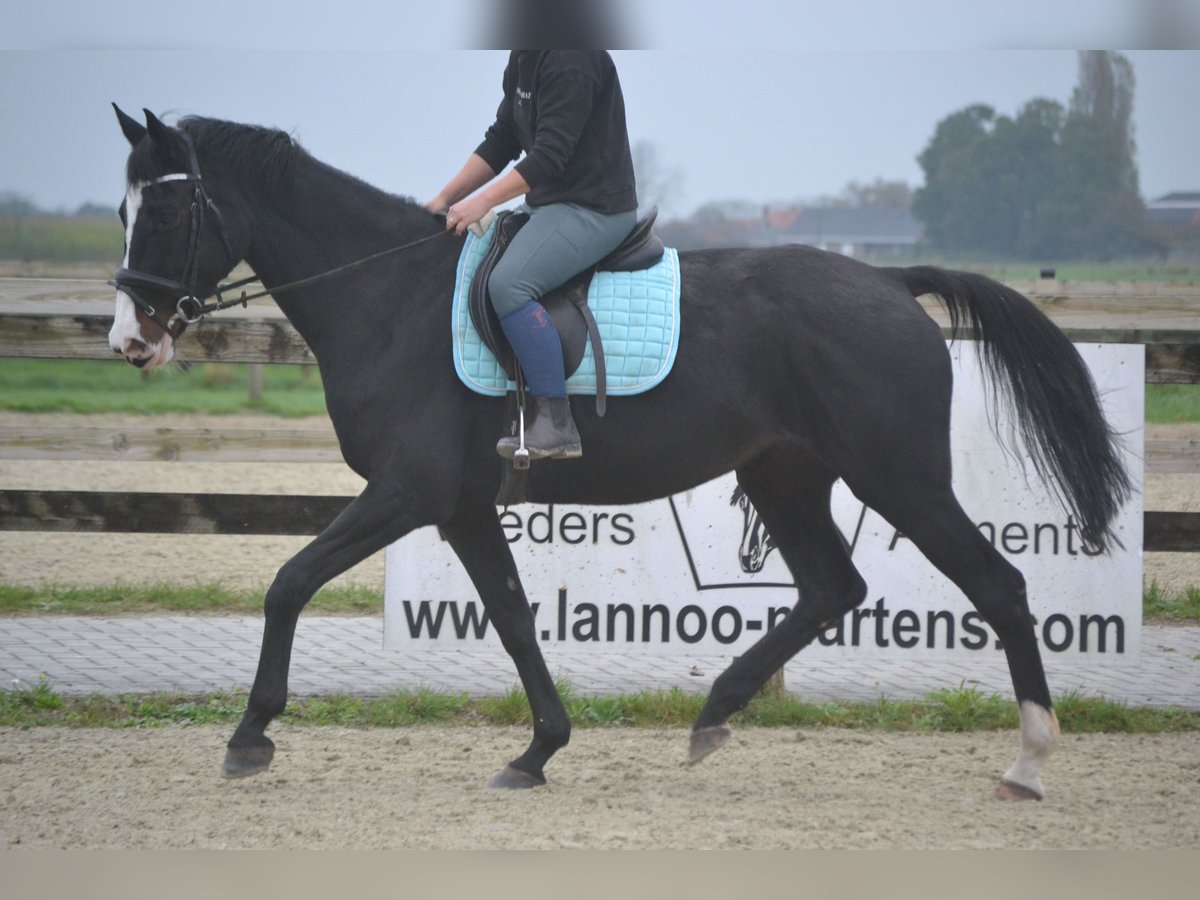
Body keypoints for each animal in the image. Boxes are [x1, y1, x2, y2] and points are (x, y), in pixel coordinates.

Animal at [108, 107, 1128, 801]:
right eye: (121, 212)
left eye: (164, 214)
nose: (129, 339)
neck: (389, 297)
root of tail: (885, 279)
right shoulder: (463, 505)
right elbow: (514, 617)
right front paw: (539, 749)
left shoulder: (410, 491)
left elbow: (289, 581)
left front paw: (249, 734)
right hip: (785, 474)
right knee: (833, 587)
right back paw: (714, 714)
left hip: (900, 477)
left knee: (996, 585)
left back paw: (1029, 762)